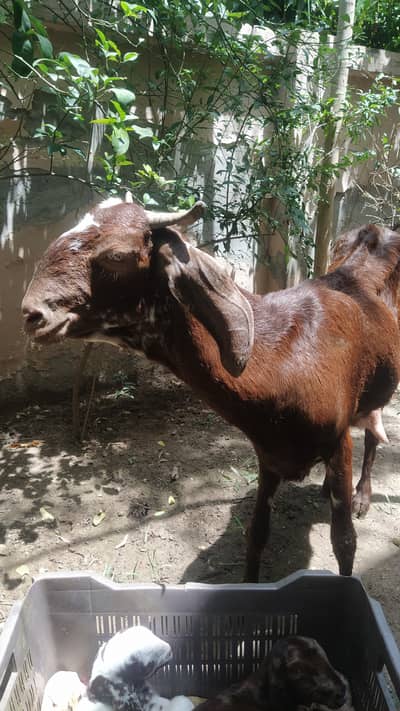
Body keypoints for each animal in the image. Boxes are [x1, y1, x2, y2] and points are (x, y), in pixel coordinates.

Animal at [21, 197, 400, 581]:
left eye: (116, 255)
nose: (32, 315)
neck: (282, 359)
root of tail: (377, 234)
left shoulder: (336, 443)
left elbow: (345, 542)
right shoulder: (269, 454)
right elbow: (257, 534)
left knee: (373, 435)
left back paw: (362, 497)